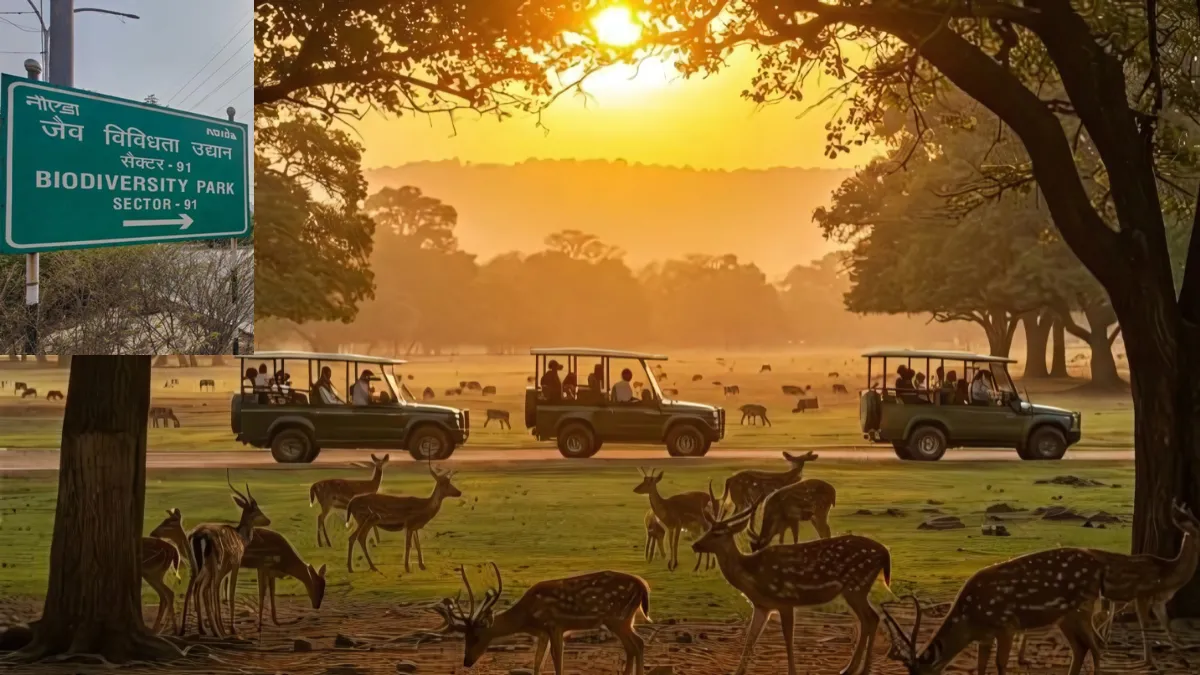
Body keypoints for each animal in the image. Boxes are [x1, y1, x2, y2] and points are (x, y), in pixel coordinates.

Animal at [178, 473, 269, 638]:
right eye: (256, 510)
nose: (268, 520)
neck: (241, 538)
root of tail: (197, 535)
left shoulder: (224, 567)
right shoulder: (235, 562)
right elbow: (230, 592)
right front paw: (232, 629)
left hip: (198, 565)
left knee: (194, 587)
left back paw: (190, 629)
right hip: (213, 563)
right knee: (207, 589)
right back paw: (217, 630)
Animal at [433, 563, 651, 675]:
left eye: (477, 637)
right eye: (465, 637)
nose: (467, 661)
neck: (527, 617)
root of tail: (644, 587)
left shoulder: (555, 625)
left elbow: (557, 662)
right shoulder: (542, 632)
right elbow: (538, 663)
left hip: (618, 617)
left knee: (636, 643)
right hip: (624, 619)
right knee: (635, 645)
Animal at [694, 495, 893, 675]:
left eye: (718, 533)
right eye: (708, 529)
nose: (695, 545)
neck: (753, 578)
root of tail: (885, 553)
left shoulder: (785, 599)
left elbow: (788, 637)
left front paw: (792, 671)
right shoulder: (762, 606)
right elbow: (751, 637)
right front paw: (738, 671)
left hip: (856, 585)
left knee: (871, 618)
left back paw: (860, 669)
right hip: (856, 589)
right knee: (870, 619)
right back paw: (852, 668)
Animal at [880, 547, 1107, 675]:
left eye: (921, 673)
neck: (970, 619)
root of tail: (1099, 566)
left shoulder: (1007, 626)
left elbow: (1000, 664)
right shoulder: (985, 637)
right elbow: (980, 667)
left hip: (1082, 608)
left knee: (1097, 645)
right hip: (1065, 618)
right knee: (1081, 648)